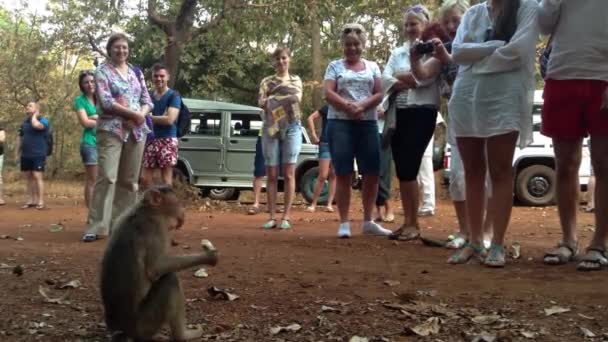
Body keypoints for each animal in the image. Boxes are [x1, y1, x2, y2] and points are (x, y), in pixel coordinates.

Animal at [101, 186, 218, 340]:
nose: (183, 212)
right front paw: (209, 256)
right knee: (170, 280)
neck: (146, 210)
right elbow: (155, 268)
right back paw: (183, 335)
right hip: (144, 324)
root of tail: (122, 330)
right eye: (178, 203)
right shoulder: (156, 229)